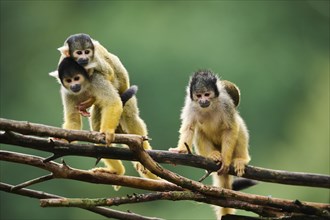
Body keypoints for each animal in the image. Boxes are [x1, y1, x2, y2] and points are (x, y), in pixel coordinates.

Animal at [55, 33, 159, 180]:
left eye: (77, 78)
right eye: (69, 80)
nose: (74, 86)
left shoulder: (96, 78)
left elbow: (113, 100)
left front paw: (107, 132)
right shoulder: (67, 92)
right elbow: (73, 122)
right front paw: (62, 140)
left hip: (125, 90)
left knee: (129, 114)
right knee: (97, 127)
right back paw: (117, 171)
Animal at [170, 70, 250, 220]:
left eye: (207, 94)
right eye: (199, 95)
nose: (202, 100)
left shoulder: (226, 103)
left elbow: (230, 128)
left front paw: (226, 160)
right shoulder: (191, 105)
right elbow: (189, 127)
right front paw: (181, 150)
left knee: (238, 125)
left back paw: (240, 159)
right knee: (198, 130)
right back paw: (212, 155)